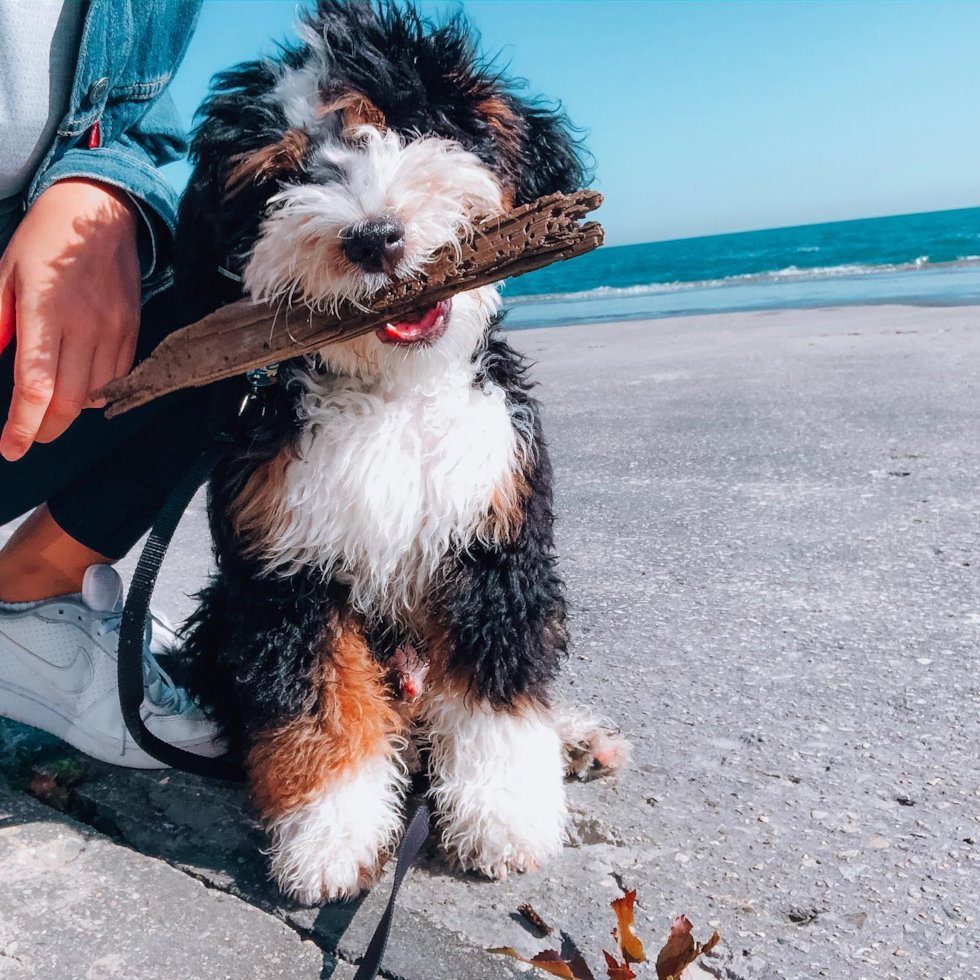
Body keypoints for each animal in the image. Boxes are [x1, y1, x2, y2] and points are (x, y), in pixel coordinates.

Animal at [174, 1, 628, 904]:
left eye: (404, 129)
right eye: (283, 176)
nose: (373, 237)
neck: (394, 394)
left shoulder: (493, 537)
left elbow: (494, 685)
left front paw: (503, 817)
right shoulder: (282, 565)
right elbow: (318, 699)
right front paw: (329, 835)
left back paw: (572, 742)